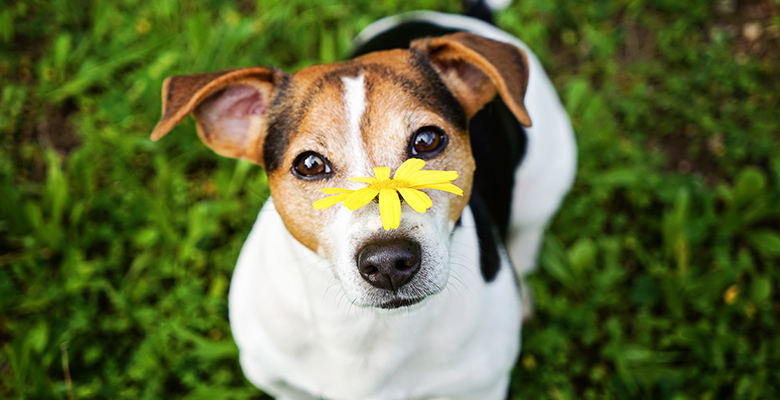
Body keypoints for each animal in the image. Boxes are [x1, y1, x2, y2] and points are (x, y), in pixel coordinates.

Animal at [151, 10, 572, 398]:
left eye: (427, 140)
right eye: (309, 164)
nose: (388, 262)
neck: (366, 330)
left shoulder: (481, 388)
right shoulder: (276, 379)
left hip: (546, 183)